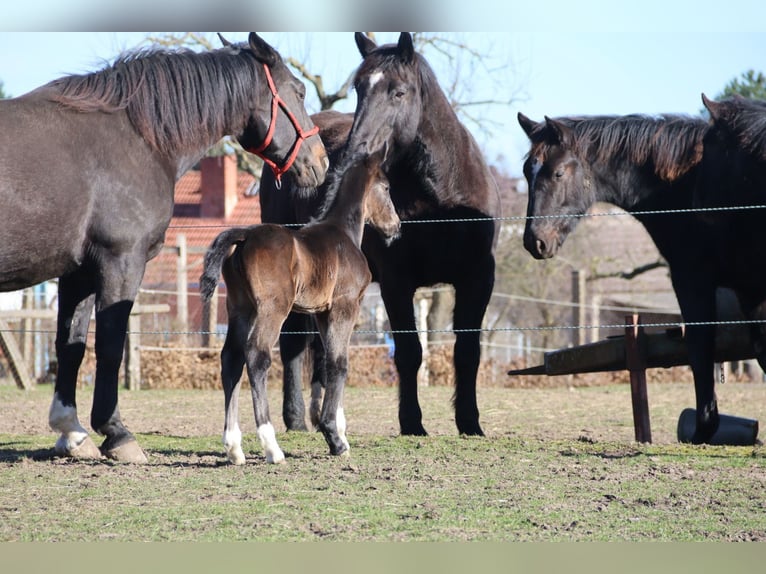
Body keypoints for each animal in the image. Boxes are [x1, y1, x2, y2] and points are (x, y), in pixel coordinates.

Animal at [0, 30, 328, 464]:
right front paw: (116, 433)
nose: (321, 162)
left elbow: (71, 345)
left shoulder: (78, 272)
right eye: (301, 91)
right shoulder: (120, 261)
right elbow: (111, 345)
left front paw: (72, 432)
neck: (136, 138)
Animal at [198, 151, 402, 466]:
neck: (343, 233)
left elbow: (328, 361)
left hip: (240, 308)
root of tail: (244, 236)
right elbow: (339, 363)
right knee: (256, 356)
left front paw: (340, 433)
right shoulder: (345, 306)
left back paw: (234, 448)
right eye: (387, 187)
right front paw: (334, 437)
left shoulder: (322, 312)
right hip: (273, 308)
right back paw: (272, 448)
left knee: (231, 359)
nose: (396, 226)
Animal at [260, 33, 504, 438]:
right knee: (294, 341)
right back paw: (295, 419)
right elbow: (409, 352)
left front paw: (470, 422)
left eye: (399, 92)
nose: (356, 150)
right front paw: (412, 422)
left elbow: (467, 350)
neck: (438, 201)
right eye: (359, 89)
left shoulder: (478, 278)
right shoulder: (396, 282)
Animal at [516, 110, 766, 446]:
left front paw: (703, 429)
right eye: (526, 172)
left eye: (557, 173)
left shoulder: (693, 278)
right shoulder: (747, 290)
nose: (535, 241)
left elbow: (701, 347)